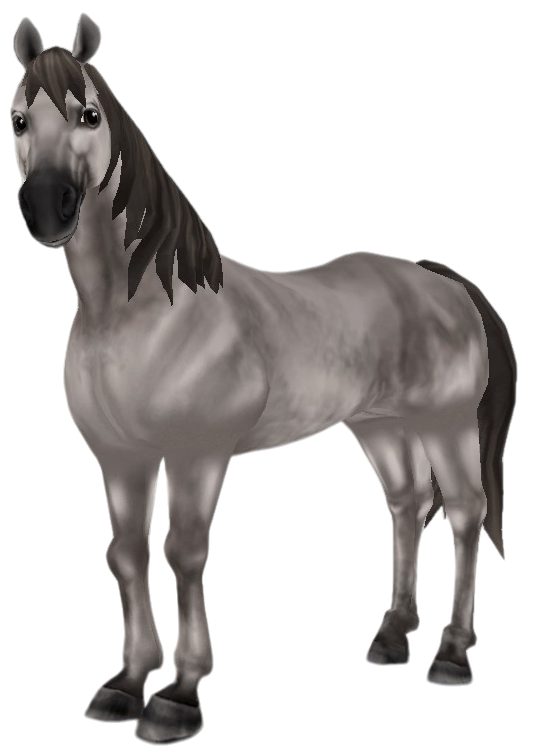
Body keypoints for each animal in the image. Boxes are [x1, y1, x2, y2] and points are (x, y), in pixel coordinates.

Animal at [11, 13, 515, 745]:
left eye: (89, 114)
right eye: (19, 119)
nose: (50, 207)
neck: (140, 313)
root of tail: (438, 280)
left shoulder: (197, 454)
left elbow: (184, 552)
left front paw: (179, 695)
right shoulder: (120, 457)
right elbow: (127, 554)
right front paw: (125, 683)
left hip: (444, 424)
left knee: (464, 511)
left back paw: (449, 654)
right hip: (380, 426)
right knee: (406, 503)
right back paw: (391, 637)